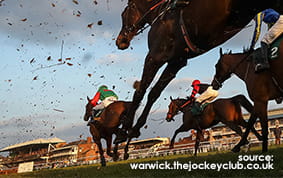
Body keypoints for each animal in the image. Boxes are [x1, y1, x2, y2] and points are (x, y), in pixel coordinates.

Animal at [115, 0, 283, 140]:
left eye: (123, 14)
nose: (120, 41)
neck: (163, 13)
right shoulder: (176, 61)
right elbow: (154, 93)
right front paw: (135, 127)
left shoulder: (155, 56)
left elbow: (141, 91)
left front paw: (125, 129)